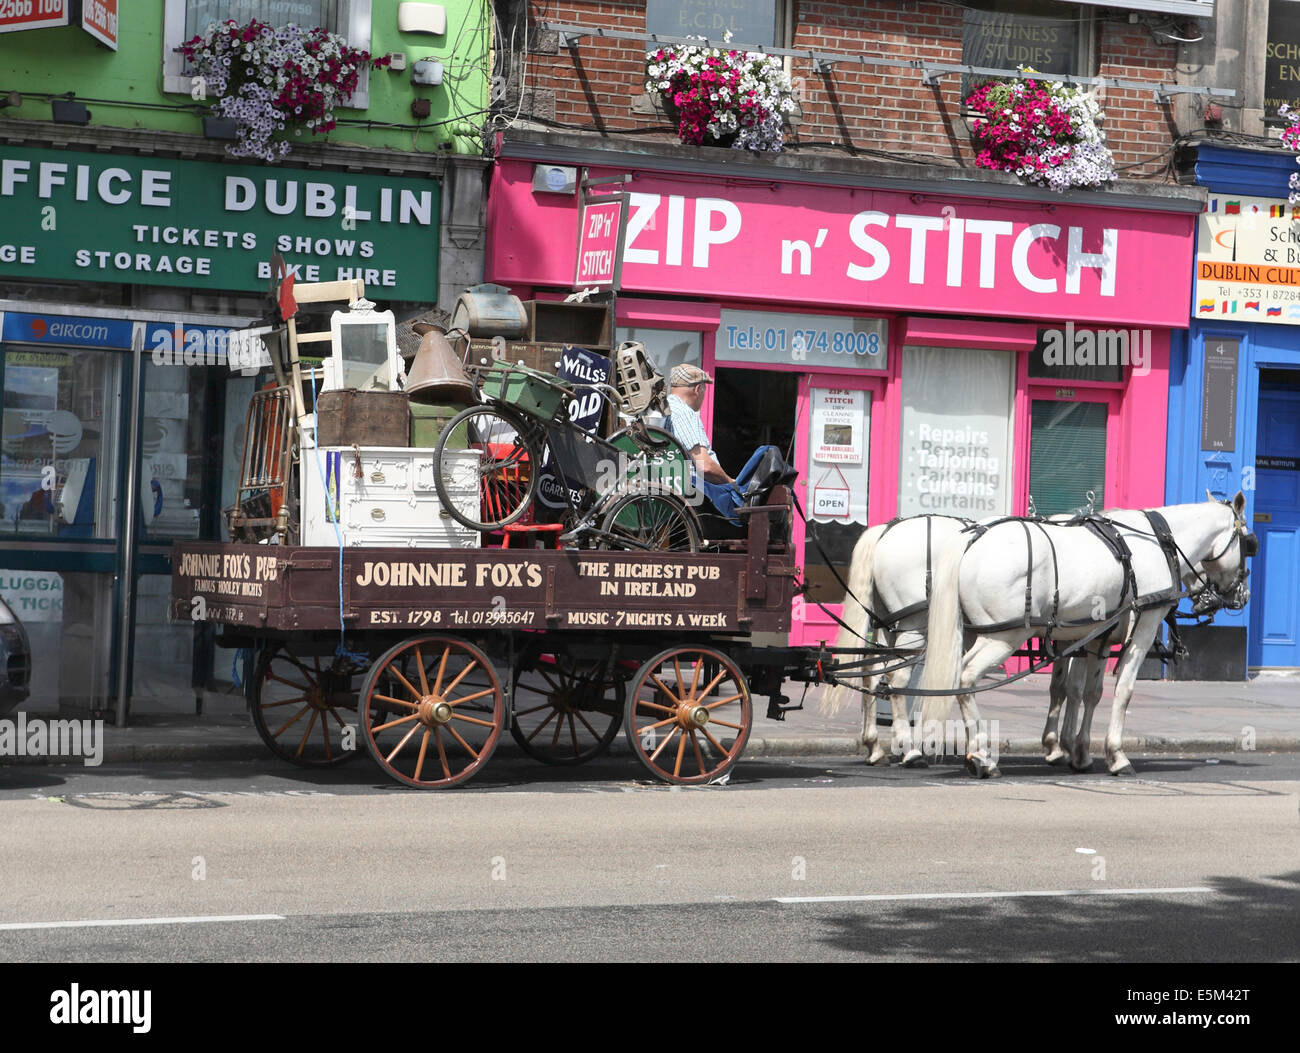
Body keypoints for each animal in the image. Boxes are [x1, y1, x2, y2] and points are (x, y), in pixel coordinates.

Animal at [920, 491, 1253, 769]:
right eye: (1250, 545)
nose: (1242, 595)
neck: (1158, 542)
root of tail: (971, 538)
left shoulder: (1095, 638)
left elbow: (1085, 691)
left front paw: (1076, 750)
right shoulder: (1142, 631)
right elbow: (1123, 690)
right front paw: (1116, 754)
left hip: (974, 633)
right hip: (1003, 636)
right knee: (966, 677)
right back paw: (981, 754)